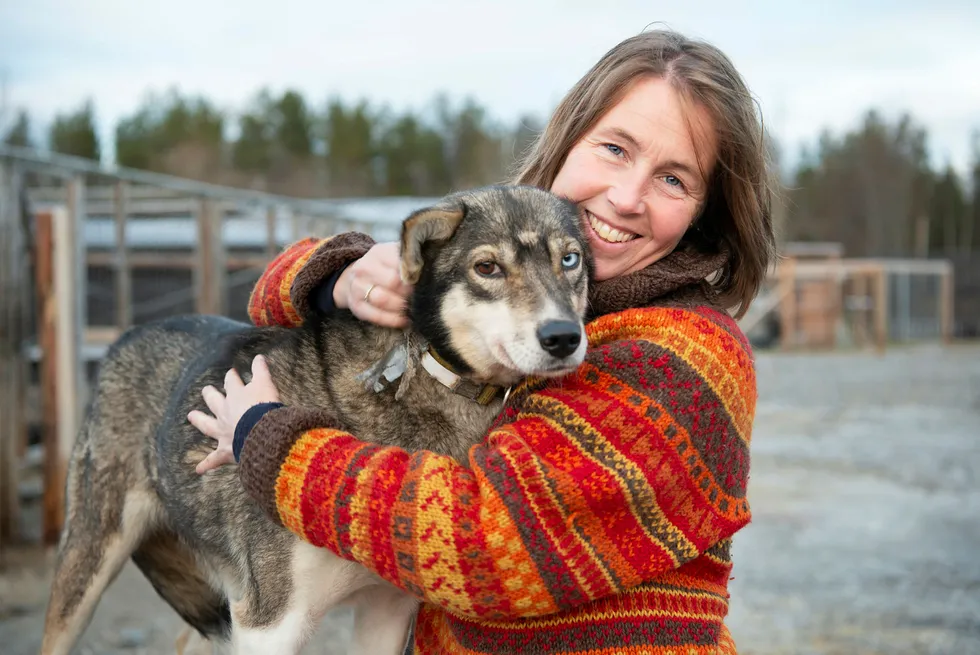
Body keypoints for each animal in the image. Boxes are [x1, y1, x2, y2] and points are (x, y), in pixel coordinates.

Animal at [40, 184, 588, 655]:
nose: (563, 337)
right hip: (88, 564)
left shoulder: (386, 609)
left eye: (570, 259)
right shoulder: (271, 620)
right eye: (487, 266)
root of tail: (126, 336)